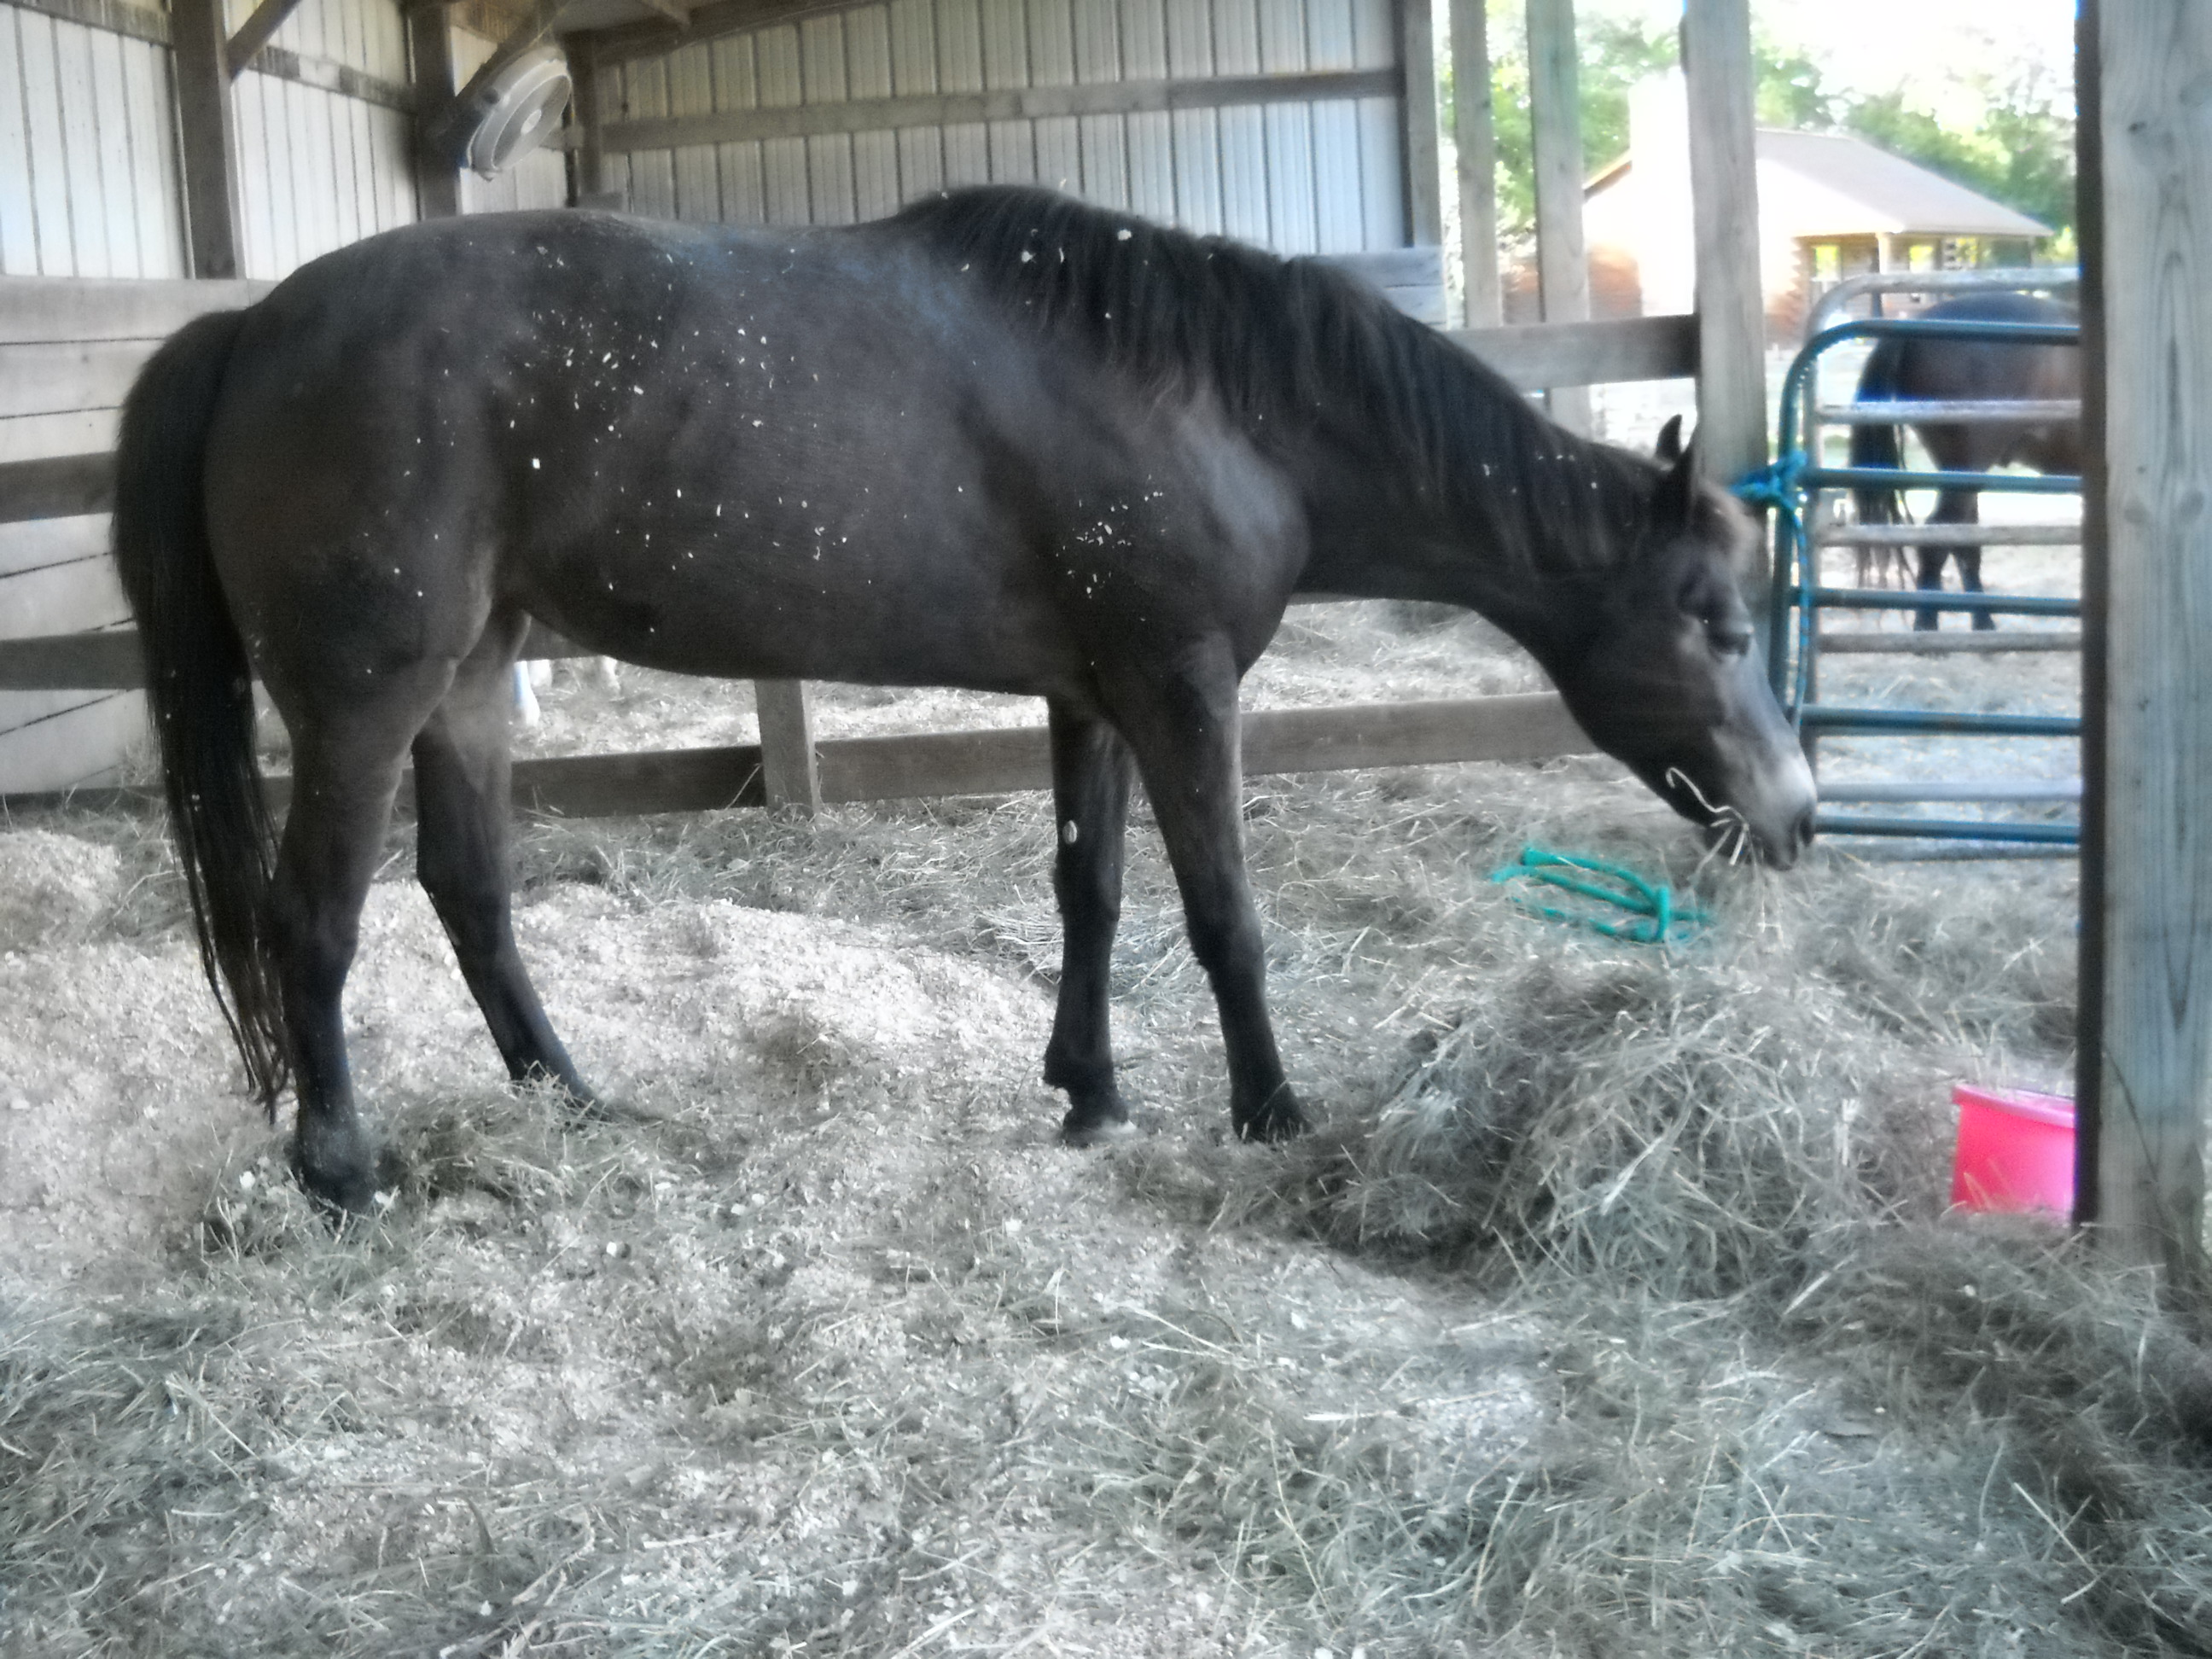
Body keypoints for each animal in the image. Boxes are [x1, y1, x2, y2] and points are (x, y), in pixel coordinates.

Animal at [111, 185, 1816, 1214]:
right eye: (1719, 623)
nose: (1798, 818)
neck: (1214, 404)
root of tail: (251, 326)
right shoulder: (1182, 688)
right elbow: (1223, 912)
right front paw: (1271, 1109)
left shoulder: (1096, 695)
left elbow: (1093, 892)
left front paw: (1091, 1094)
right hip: (364, 698)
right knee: (313, 917)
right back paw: (343, 1168)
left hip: (468, 682)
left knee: (470, 893)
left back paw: (574, 1101)